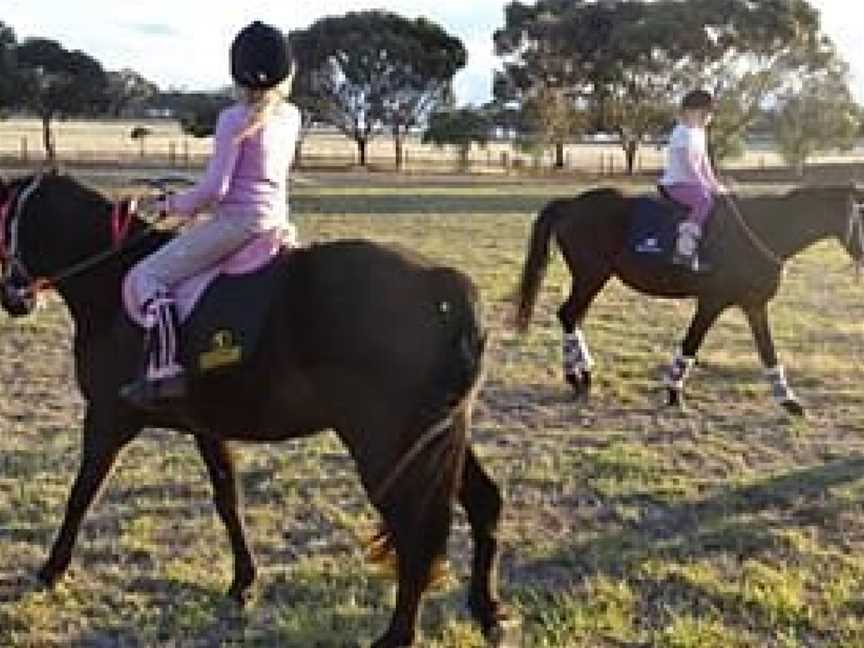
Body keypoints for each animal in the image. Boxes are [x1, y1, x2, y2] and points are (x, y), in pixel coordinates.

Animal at [0, 173, 510, 648]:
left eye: (2, 223)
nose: (14, 300)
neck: (111, 284)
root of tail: (441, 284)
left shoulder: (108, 418)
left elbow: (82, 492)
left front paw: (51, 569)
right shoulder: (206, 426)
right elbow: (228, 499)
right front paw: (243, 582)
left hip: (385, 446)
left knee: (413, 530)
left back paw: (398, 636)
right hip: (434, 439)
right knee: (483, 503)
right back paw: (487, 612)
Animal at [512, 184, 864, 416]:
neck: (765, 229)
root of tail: (572, 203)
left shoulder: (753, 304)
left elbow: (767, 351)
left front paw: (788, 401)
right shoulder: (712, 302)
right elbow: (692, 343)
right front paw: (673, 393)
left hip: (591, 279)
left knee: (573, 317)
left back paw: (581, 375)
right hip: (591, 277)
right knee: (568, 315)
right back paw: (577, 377)